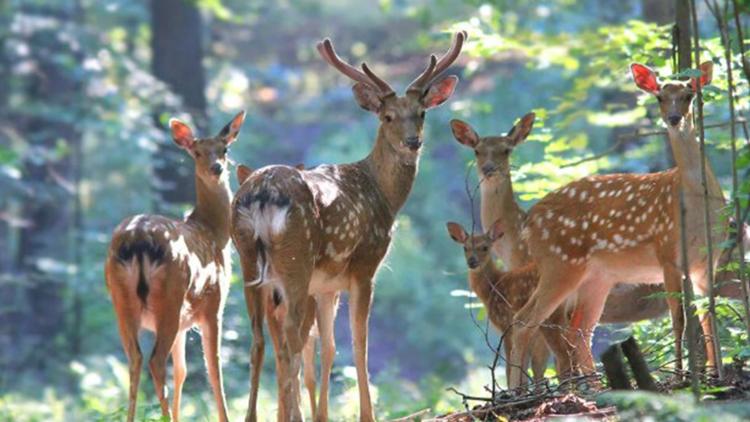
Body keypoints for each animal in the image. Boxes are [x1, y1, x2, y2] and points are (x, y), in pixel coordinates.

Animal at [104, 111, 247, 422]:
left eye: (224, 149)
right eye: (197, 152)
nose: (217, 168)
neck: (214, 231)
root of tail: (138, 240)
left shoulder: (184, 323)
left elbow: (181, 371)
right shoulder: (214, 304)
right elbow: (214, 368)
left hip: (121, 300)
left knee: (135, 358)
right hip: (170, 294)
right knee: (156, 361)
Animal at [232, 31, 468, 420]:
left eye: (421, 113)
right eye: (387, 117)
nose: (413, 142)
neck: (384, 195)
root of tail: (261, 195)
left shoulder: (327, 285)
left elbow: (329, 348)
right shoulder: (364, 266)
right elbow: (359, 344)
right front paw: (367, 413)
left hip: (248, 259)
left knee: (259, 340)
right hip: (296, 259)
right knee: (291, 337)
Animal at [446, 219, 576, 388]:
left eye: (485, 247)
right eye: (465, 247)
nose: (472, 261)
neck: (493, 287)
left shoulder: (505, 324)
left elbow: (511, 365)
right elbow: (530, 365)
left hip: (549, 314)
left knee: (564, 353)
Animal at [506, 61, 728, 388]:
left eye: (689, 95)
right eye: (660, 97)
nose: (674, 119)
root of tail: (529, 221)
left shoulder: (706, 263)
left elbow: (708, 315)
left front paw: (716, 373)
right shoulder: (667, 254)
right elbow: (678, 318)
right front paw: (680, 375)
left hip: (597, 277)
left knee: (579, 329)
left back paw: (595, 386)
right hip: (560, 264)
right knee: (524, 321)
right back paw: (516, 391)